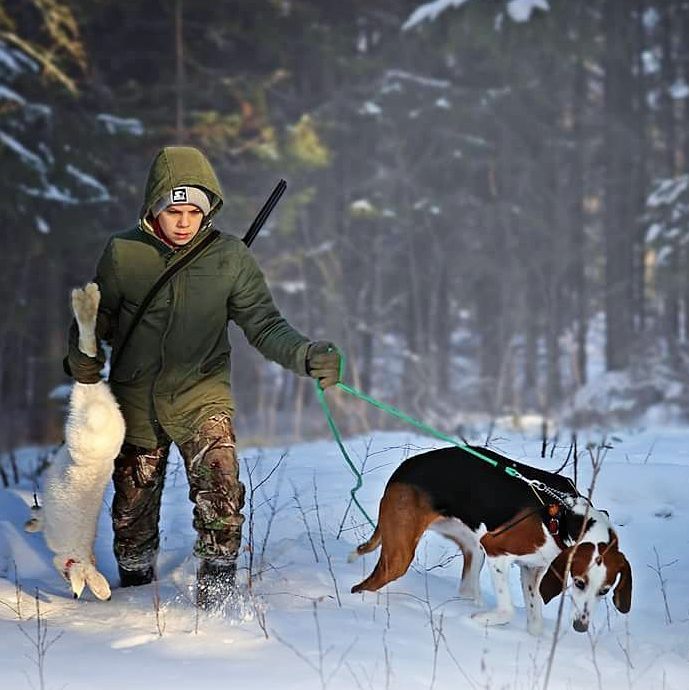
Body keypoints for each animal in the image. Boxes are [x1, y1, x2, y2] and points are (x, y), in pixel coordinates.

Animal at [25, 283, 125, 600]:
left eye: (68, 575)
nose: (75, 594)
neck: (77, 555)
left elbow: (40, 520)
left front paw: (30, 524)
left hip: (81, 418)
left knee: (88, 350)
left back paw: (85, 300)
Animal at [350, 446, 632, 635]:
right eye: (580, 583)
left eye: (604, 591)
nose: (581, 626)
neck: (567, 518)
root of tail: (402, 468)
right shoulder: (497, 550)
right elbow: (507, 611)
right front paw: (480, 620)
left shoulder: (532, 569)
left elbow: (535, 622)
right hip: (400, 558)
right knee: (364, 586)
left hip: (472, 547)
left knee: (466, 588)